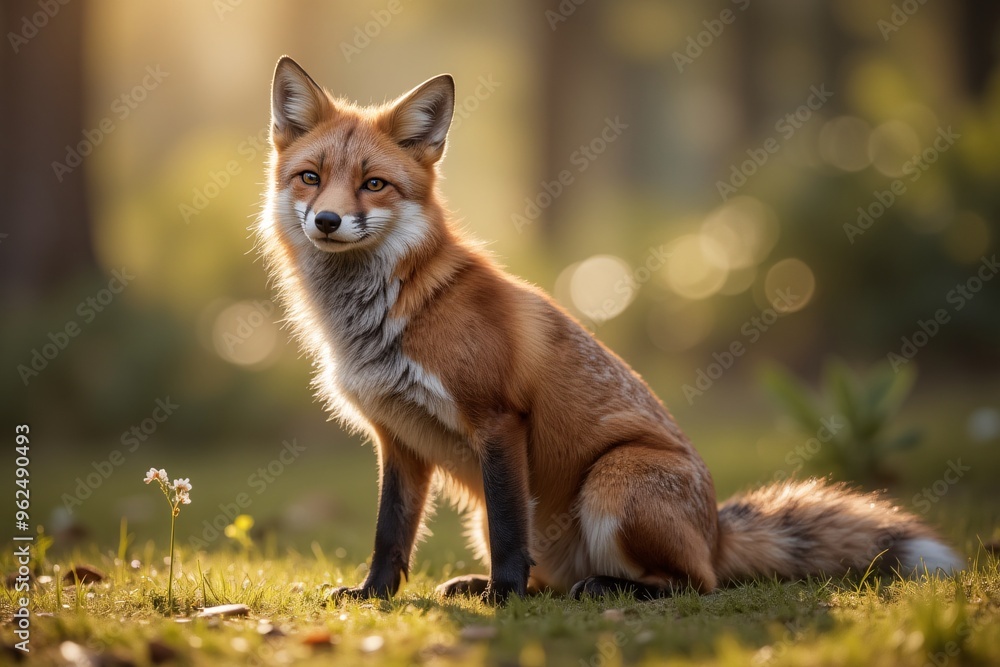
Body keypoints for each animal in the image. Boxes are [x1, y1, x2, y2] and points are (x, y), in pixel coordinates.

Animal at [257, 56, 964, 602]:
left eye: (374, 184)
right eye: (311, 177)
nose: (326, 221)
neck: (385, 316)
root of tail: (715, 531)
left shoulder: (497, 418)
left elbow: (510, 533)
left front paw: (503, 598)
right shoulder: (399, 439)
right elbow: (391, 532)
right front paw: (374, 594)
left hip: (615, 482)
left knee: (692, 583)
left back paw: (598, 588)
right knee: (560, 574)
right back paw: (501, 585)